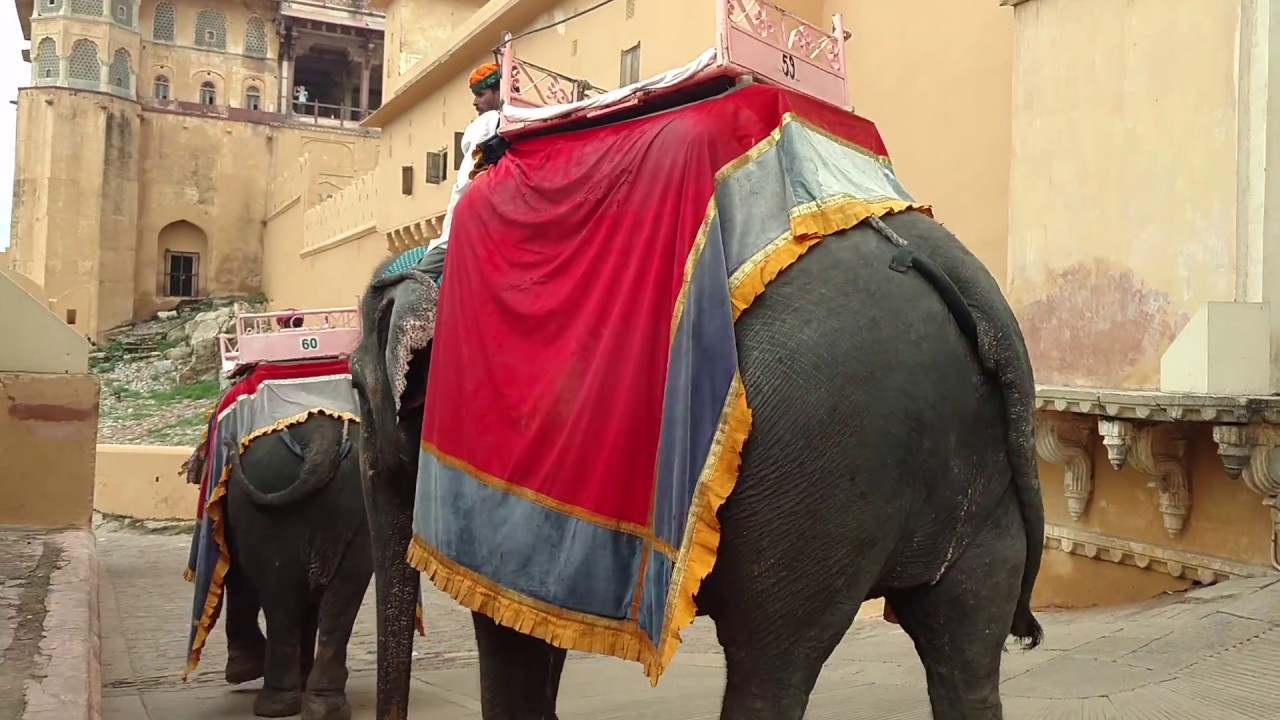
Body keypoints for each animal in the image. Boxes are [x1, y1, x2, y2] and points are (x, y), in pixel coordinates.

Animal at [186, 412, 372, 720]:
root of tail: (321, 438)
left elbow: (240, 578)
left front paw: (243, 670)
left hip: (266, 500)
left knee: (279, 598)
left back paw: (274, 703)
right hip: (357, 502)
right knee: (340, 599)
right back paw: (324, 706)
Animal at [350, 208, 1045, 720]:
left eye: (354, 384)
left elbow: (505, 625)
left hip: (818, 470)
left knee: (772, 661)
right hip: (977, 483)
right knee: (965, 648)